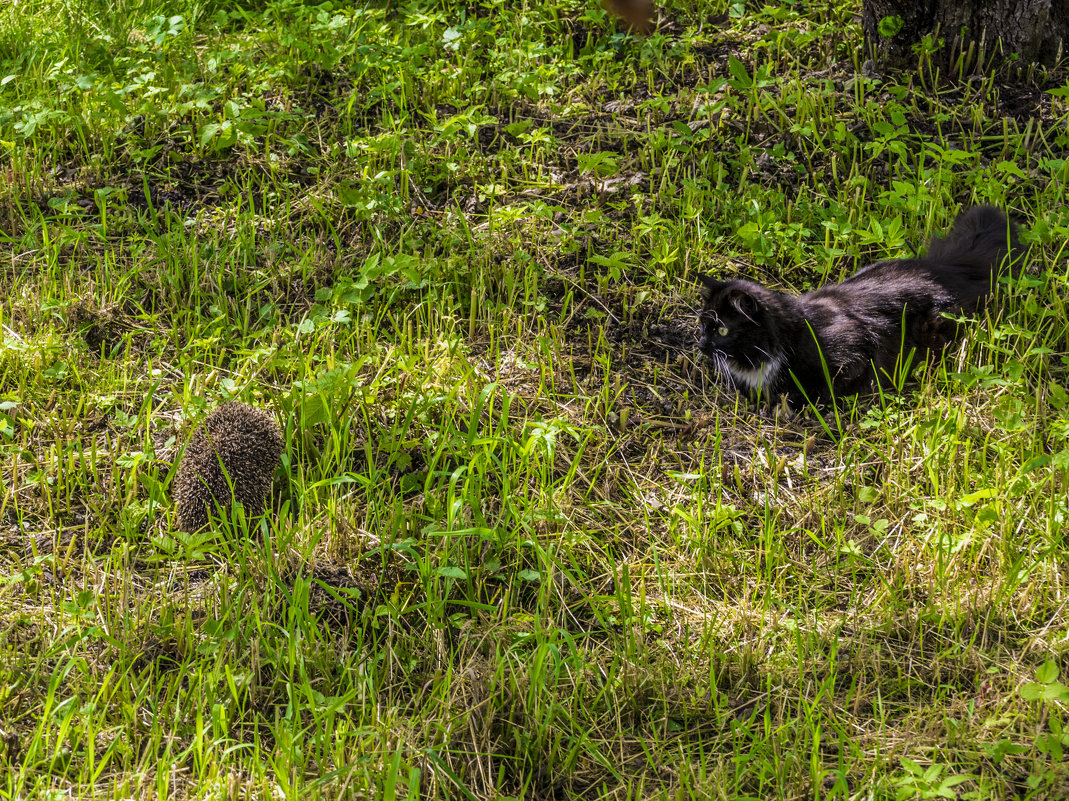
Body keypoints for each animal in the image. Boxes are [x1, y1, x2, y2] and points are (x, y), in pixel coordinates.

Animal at [696, 206, 1021, 406]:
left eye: (721, 329)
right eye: (702, 324)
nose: (701, 345)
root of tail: (943, 268)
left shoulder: (852, 351)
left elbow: (826, 387)